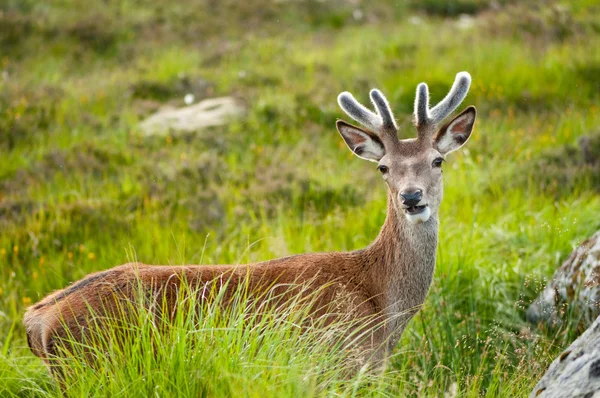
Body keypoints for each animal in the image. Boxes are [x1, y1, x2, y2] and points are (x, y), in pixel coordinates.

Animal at [24, 70, 478, 374]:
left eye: (437, 160)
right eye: (383, 168)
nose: (412, 197)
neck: (382, 307)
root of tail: (37, 319)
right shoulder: (336, 361)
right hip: (90, 366)